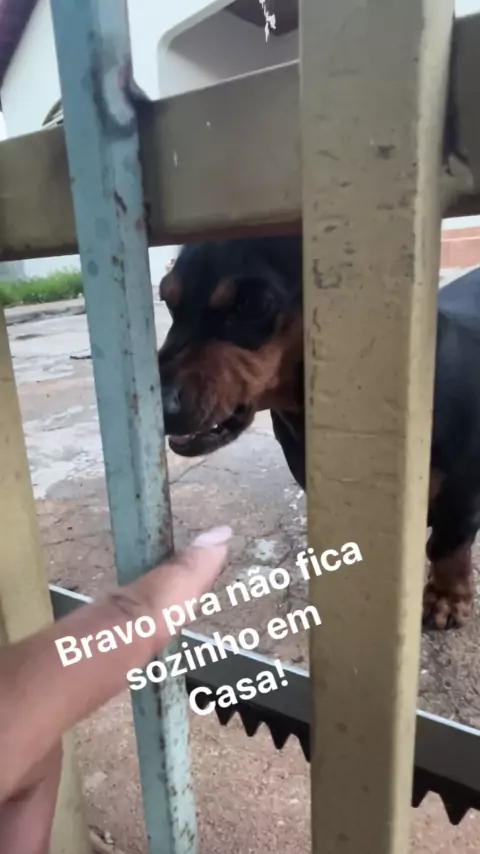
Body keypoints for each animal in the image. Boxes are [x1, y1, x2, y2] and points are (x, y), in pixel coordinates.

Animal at [158, 237, 480, 631]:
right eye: (167, 299)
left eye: (251, 304)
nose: (158, 404)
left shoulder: (461, 496)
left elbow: (448, 547)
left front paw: (447, 597)